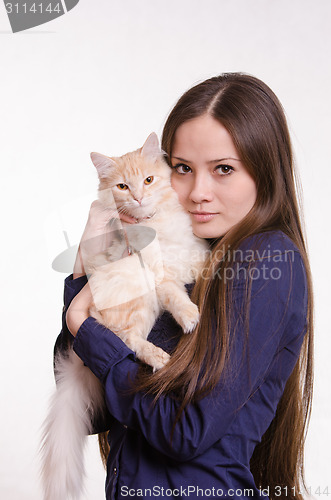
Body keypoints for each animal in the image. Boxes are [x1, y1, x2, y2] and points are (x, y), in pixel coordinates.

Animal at [40, 134, 208, 500]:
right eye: (122, 186)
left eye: (148, 180)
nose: (138, 197)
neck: (157, 225)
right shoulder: (158, 275)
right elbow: (176, 295)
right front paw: (189, 315)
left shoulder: (192, 253)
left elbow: (210, 261)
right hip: (137, 302)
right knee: (125, 341)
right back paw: (158, 358)